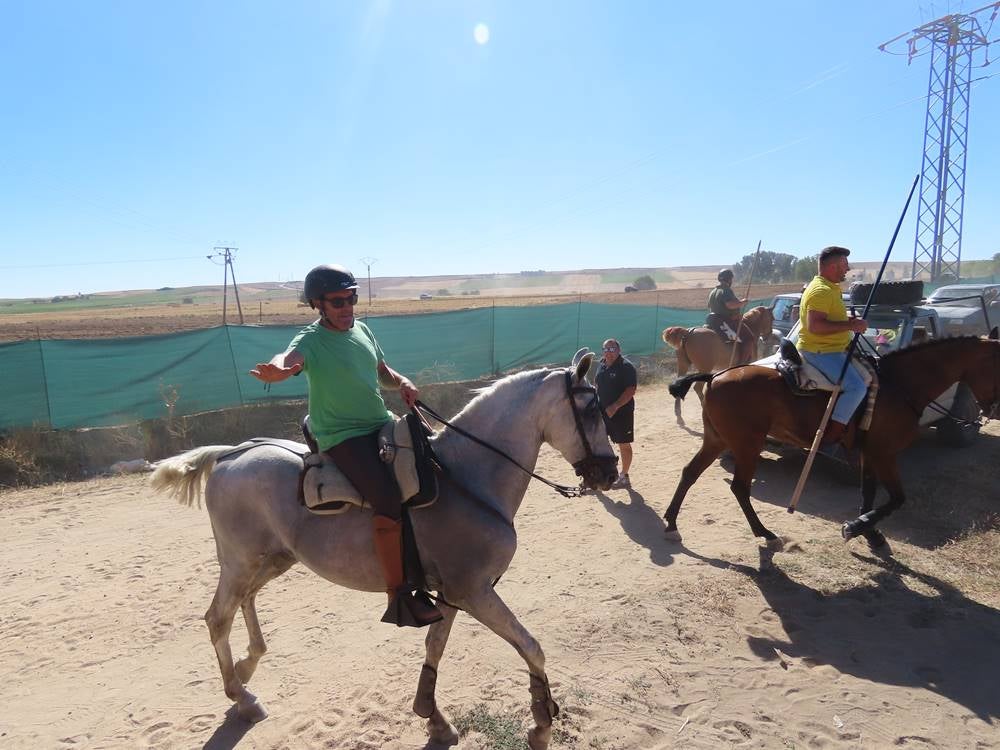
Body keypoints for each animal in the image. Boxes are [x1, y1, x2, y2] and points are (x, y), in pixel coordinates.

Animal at [148, 350, 616, 748]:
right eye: (592, 410)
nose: (610, 472)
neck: (465, 476)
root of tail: (231, 454)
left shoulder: (452, 593)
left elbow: (434, 647)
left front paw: (433, 717)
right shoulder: (475, 591)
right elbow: (530, 646)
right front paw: (541, 722)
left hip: (274, 559)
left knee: (245, 601)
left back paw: (247, 667)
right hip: (240, 560)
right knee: (218, 617)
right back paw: (241, 695)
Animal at [664, 334, 1000, 552]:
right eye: (997, 367)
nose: (992, 409)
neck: (900, 385)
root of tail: (715, 377)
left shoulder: (868, 452)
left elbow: (868, 493)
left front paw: (871, 533)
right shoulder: (884, 452)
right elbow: (896, 498)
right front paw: (855, 527)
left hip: (718, 440)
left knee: (690, 473)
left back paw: (671, 524)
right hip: (747, 444)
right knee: (739, 487)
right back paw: (766, 534)